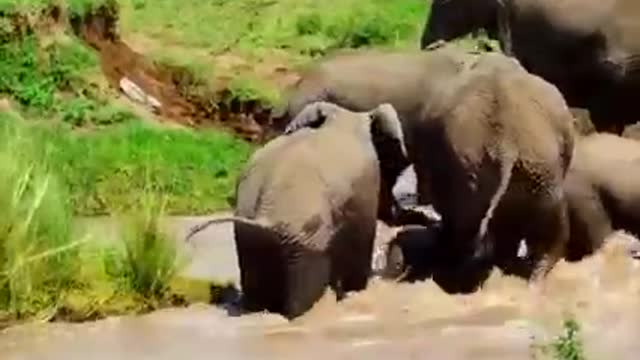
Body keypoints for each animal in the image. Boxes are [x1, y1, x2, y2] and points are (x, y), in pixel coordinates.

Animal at [185, 101, 408, 320]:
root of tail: (265, 214)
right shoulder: (366, 186)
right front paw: (354, 291)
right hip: (305, 238)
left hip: (251, 235)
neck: (344, 117)